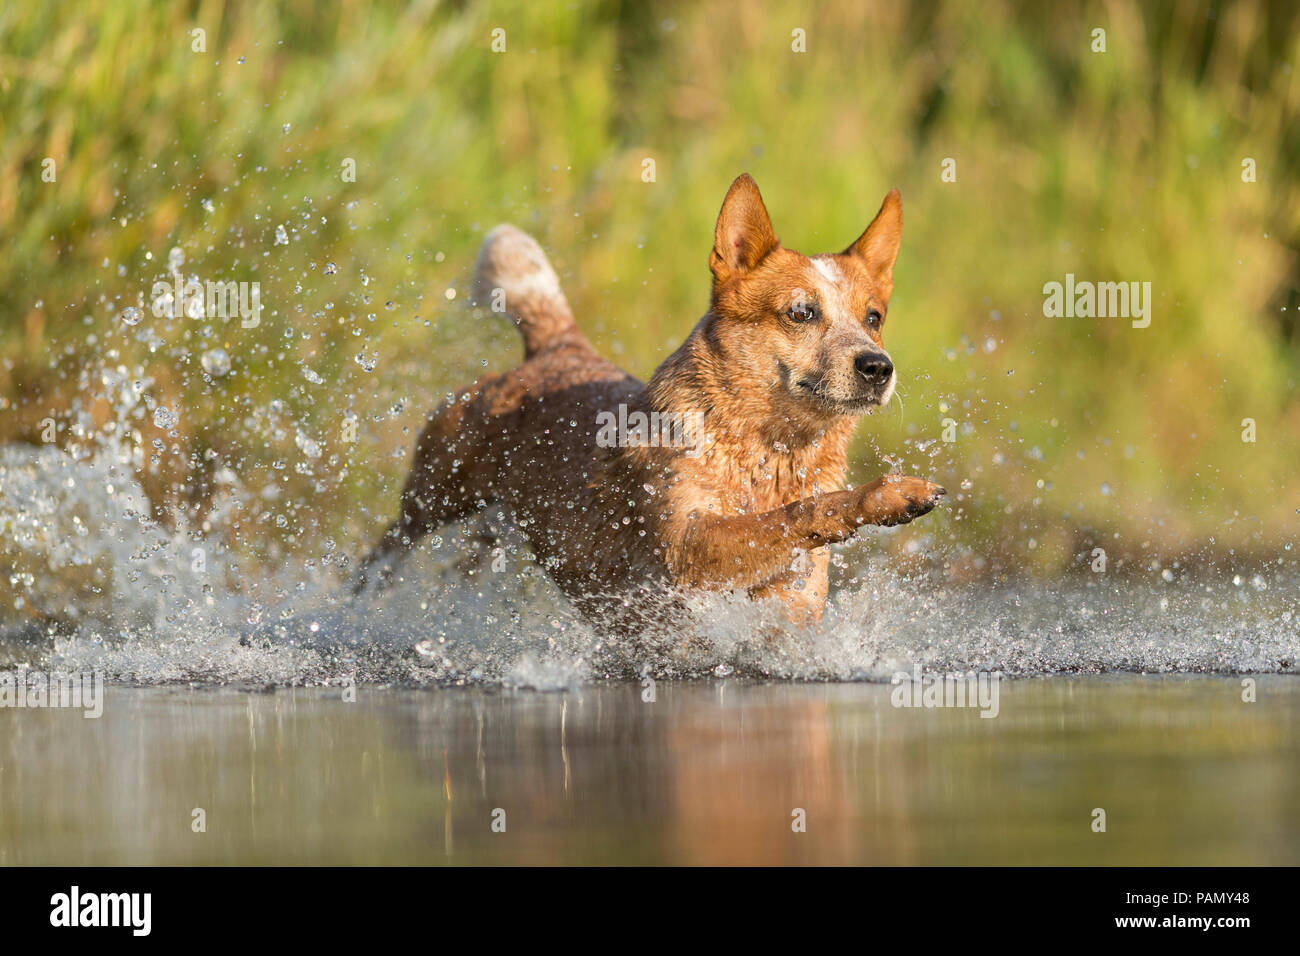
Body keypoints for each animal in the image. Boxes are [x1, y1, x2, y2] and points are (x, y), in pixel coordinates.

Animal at [356, 175, 946, 632]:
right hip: (435, 493)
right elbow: (798, 512)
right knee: (384, 549)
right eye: (801, 312)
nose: (877, 366)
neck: (770, 451)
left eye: (873, 318)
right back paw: (356, 608)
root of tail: (561, 347)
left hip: (494, 527)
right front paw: (891, 494)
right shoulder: (686, 548)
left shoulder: (789, 597)